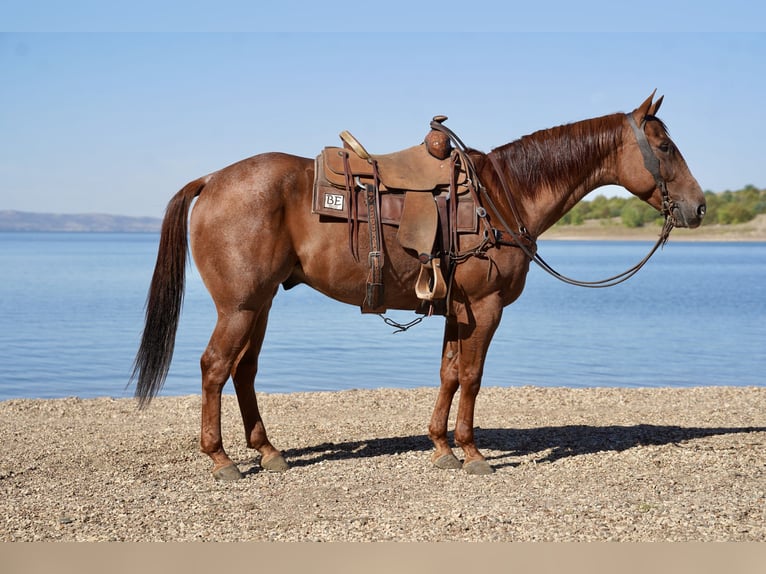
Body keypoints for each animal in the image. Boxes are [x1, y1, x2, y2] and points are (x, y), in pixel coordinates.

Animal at [132, 93, 706, 480]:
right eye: (665, 145)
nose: (698, 207)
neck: (503, 196)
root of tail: (212, 179)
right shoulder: (486, 307)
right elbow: (471, 377)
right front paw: (472, 453)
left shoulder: (460, 310)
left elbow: (449, 374)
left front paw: (441, 447)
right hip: (240, 305)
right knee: (214, 368)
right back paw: (221, 458)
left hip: (261, 303)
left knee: (243, 371)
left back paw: (268, 452)